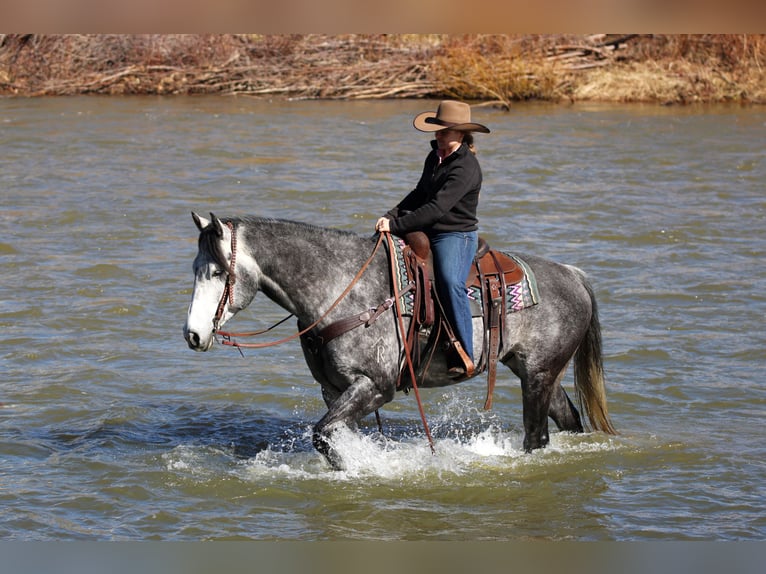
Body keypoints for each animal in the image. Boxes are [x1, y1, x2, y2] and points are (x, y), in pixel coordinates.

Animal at [183, 213, 616, 469]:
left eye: (219, 272)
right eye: (195, 269)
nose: (193, 334)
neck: (342, 288)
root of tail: (572, 274)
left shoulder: (376, 386)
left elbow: (322, 434)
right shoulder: (334, 390)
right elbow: (334, 435)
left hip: (540, 375)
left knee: (536, 435)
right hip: (539, 373)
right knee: (567, 422)